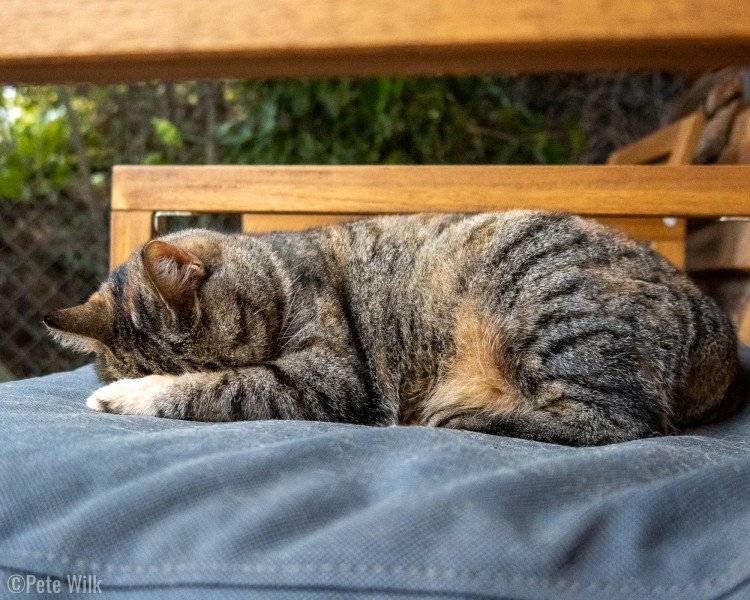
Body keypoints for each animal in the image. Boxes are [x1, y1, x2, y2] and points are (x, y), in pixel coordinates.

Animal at [44, 212, 744, 446]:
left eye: (220, 359)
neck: (281, 269)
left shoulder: (330, 378)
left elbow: (219, 390)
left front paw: (125, 394)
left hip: (545, 303)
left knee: (618, 421)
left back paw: (467, 416)